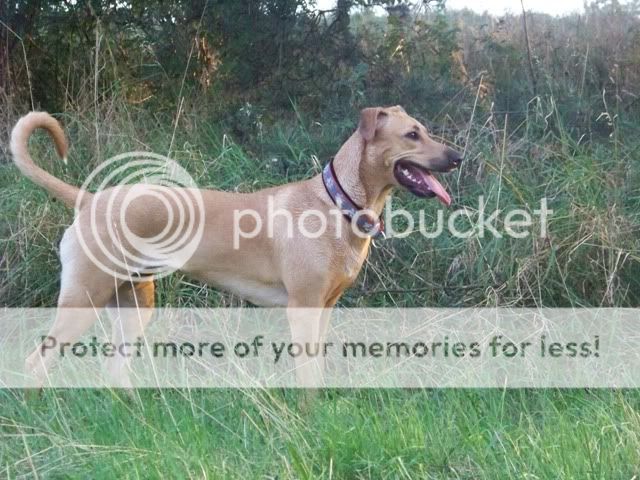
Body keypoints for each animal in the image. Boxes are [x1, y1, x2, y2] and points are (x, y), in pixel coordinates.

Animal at [10, 106, 462, 386]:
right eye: (412, 134)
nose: (458, 157)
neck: (338, 204)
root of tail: (89, 200)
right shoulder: (303, 307)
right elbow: (308, 376)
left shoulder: (326, 308)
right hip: (84, 300)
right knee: (35, 362)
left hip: (135, 304)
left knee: (114, 369)